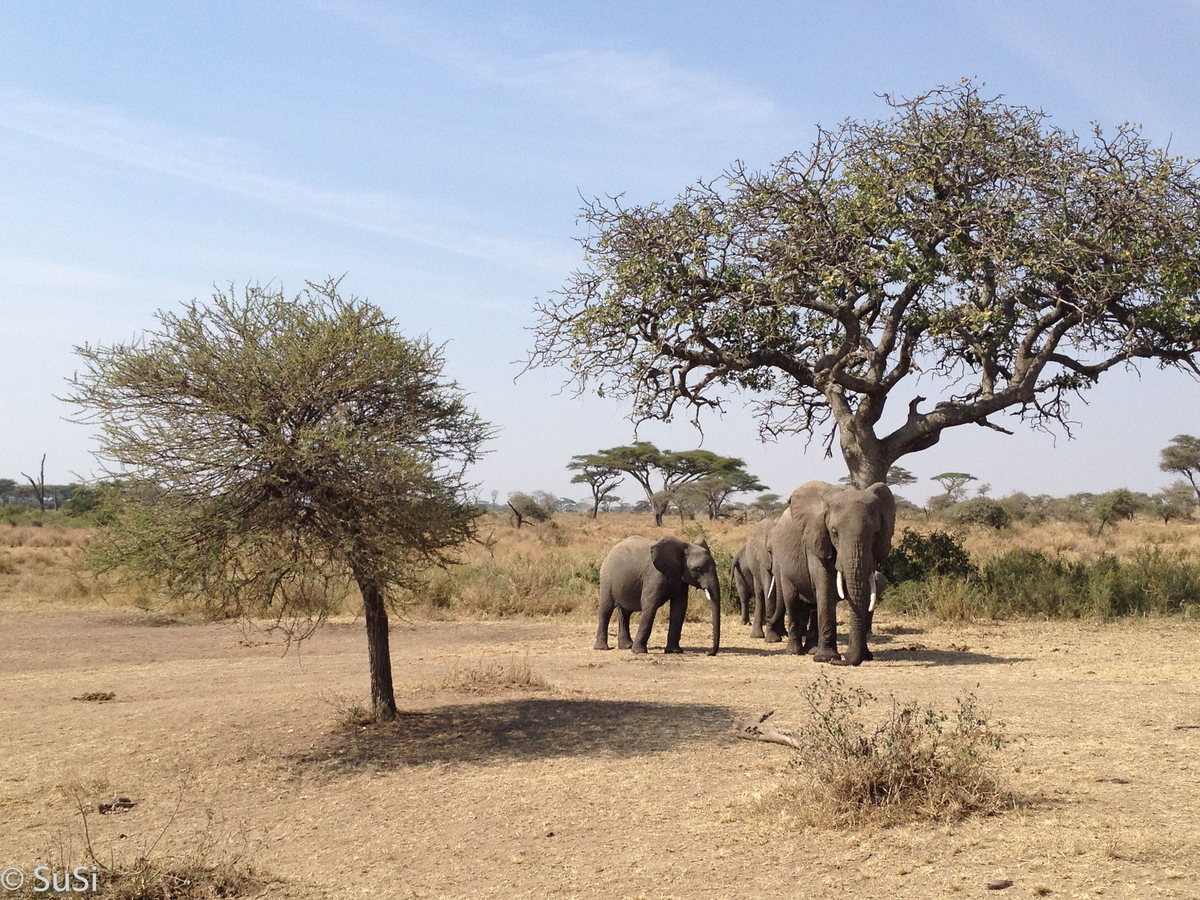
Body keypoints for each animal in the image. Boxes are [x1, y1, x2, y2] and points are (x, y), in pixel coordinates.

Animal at [768, 482, 892, 667]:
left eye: (875, 533)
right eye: (834, 532)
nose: (843, 659)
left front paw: (866, 656)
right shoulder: (816, 539)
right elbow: (825, 587)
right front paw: (826, 658)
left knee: (813, 606)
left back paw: (812, 649)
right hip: (784, 566)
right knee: (792, 602)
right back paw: (794, 651)